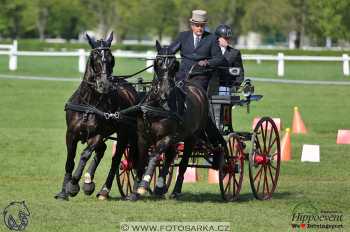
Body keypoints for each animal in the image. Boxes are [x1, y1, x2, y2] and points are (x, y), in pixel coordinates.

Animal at [54, 32, 138, 201]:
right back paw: (88, 182)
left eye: (112, 58)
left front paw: (73, 184)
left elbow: (85, 155)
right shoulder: (71, 134)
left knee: (115, 159)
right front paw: (64, 191)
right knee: (102, 150)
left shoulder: (97, 135)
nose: (105, 84)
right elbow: (70, 160)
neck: (88, 104)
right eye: (95, 57)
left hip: (124, 133)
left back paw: (104, 190)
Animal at [131, 40, 211, 199]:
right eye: (158, 62)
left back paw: (175, 190)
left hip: (191, 138)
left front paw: (143, 185)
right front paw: (135, 191)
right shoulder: (142, 137)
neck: (158, 106)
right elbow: (141, 161)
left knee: (182, 164)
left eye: (175, 64)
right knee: (169, 157)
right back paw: (160, 188)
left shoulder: (167, 137)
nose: (165, 92)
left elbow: (154, 156)